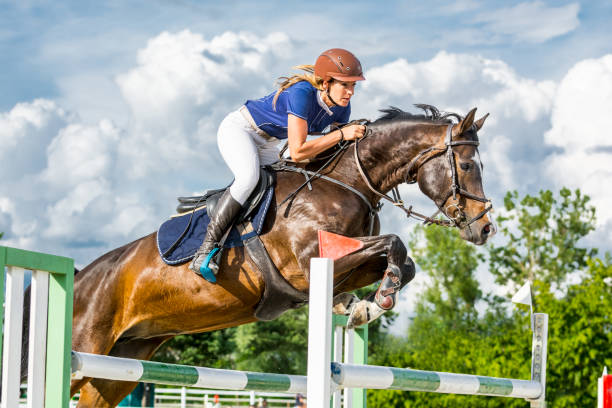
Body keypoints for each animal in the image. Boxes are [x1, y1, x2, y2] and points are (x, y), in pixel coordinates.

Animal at [56, 104, 498, 404]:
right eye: (466, 164)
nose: (484, 228)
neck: (345, 183)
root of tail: (80, 277)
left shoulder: (347, 263)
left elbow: (404, 262)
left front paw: (360, 307)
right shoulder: (308, 266)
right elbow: (395, 245)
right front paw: (377, 299)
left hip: (118, 369)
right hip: (87, 348)